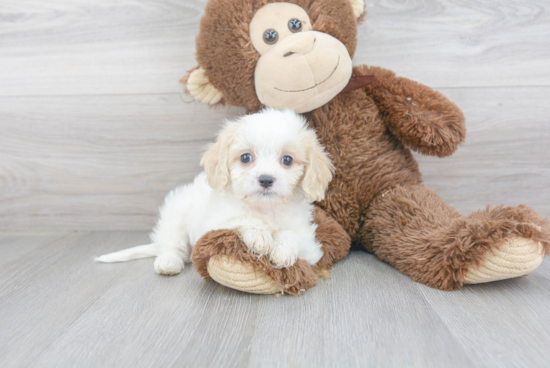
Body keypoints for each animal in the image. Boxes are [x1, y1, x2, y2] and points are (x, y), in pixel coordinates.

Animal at [96, 108, 334, 274]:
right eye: (245, 157)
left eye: (287, 160)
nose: (266, 179)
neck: (263, 208)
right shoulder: (214, 225)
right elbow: (242, 218)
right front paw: (259, 234)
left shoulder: (309, 243)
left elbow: (291, 234)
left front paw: (283, 249)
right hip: (176, 215)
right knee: (172, 245)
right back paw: (168, 261)